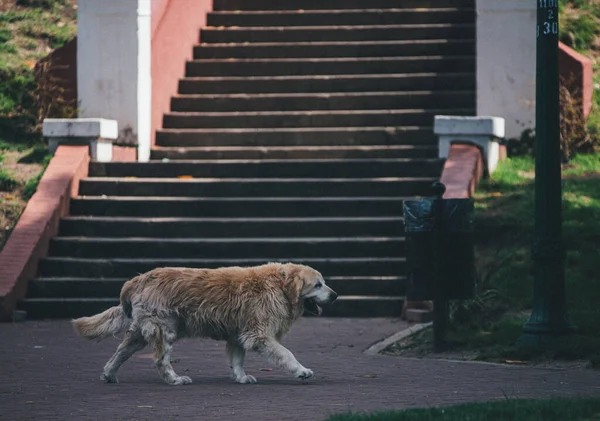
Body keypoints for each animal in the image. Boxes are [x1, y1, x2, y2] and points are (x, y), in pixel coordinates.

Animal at [70, 260, 338, 386]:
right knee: (160, 360)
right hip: (164, 330)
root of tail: (138, 279)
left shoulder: (239, 334)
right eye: (318, 285)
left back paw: (109, 374)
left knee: (119, 353)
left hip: (139, 334)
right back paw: (175, 379)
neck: (280, 287)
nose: (336, 296)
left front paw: (241, 377)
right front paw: (301, 371)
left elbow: (237, 361)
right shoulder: (259, 334)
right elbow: (286, 354)